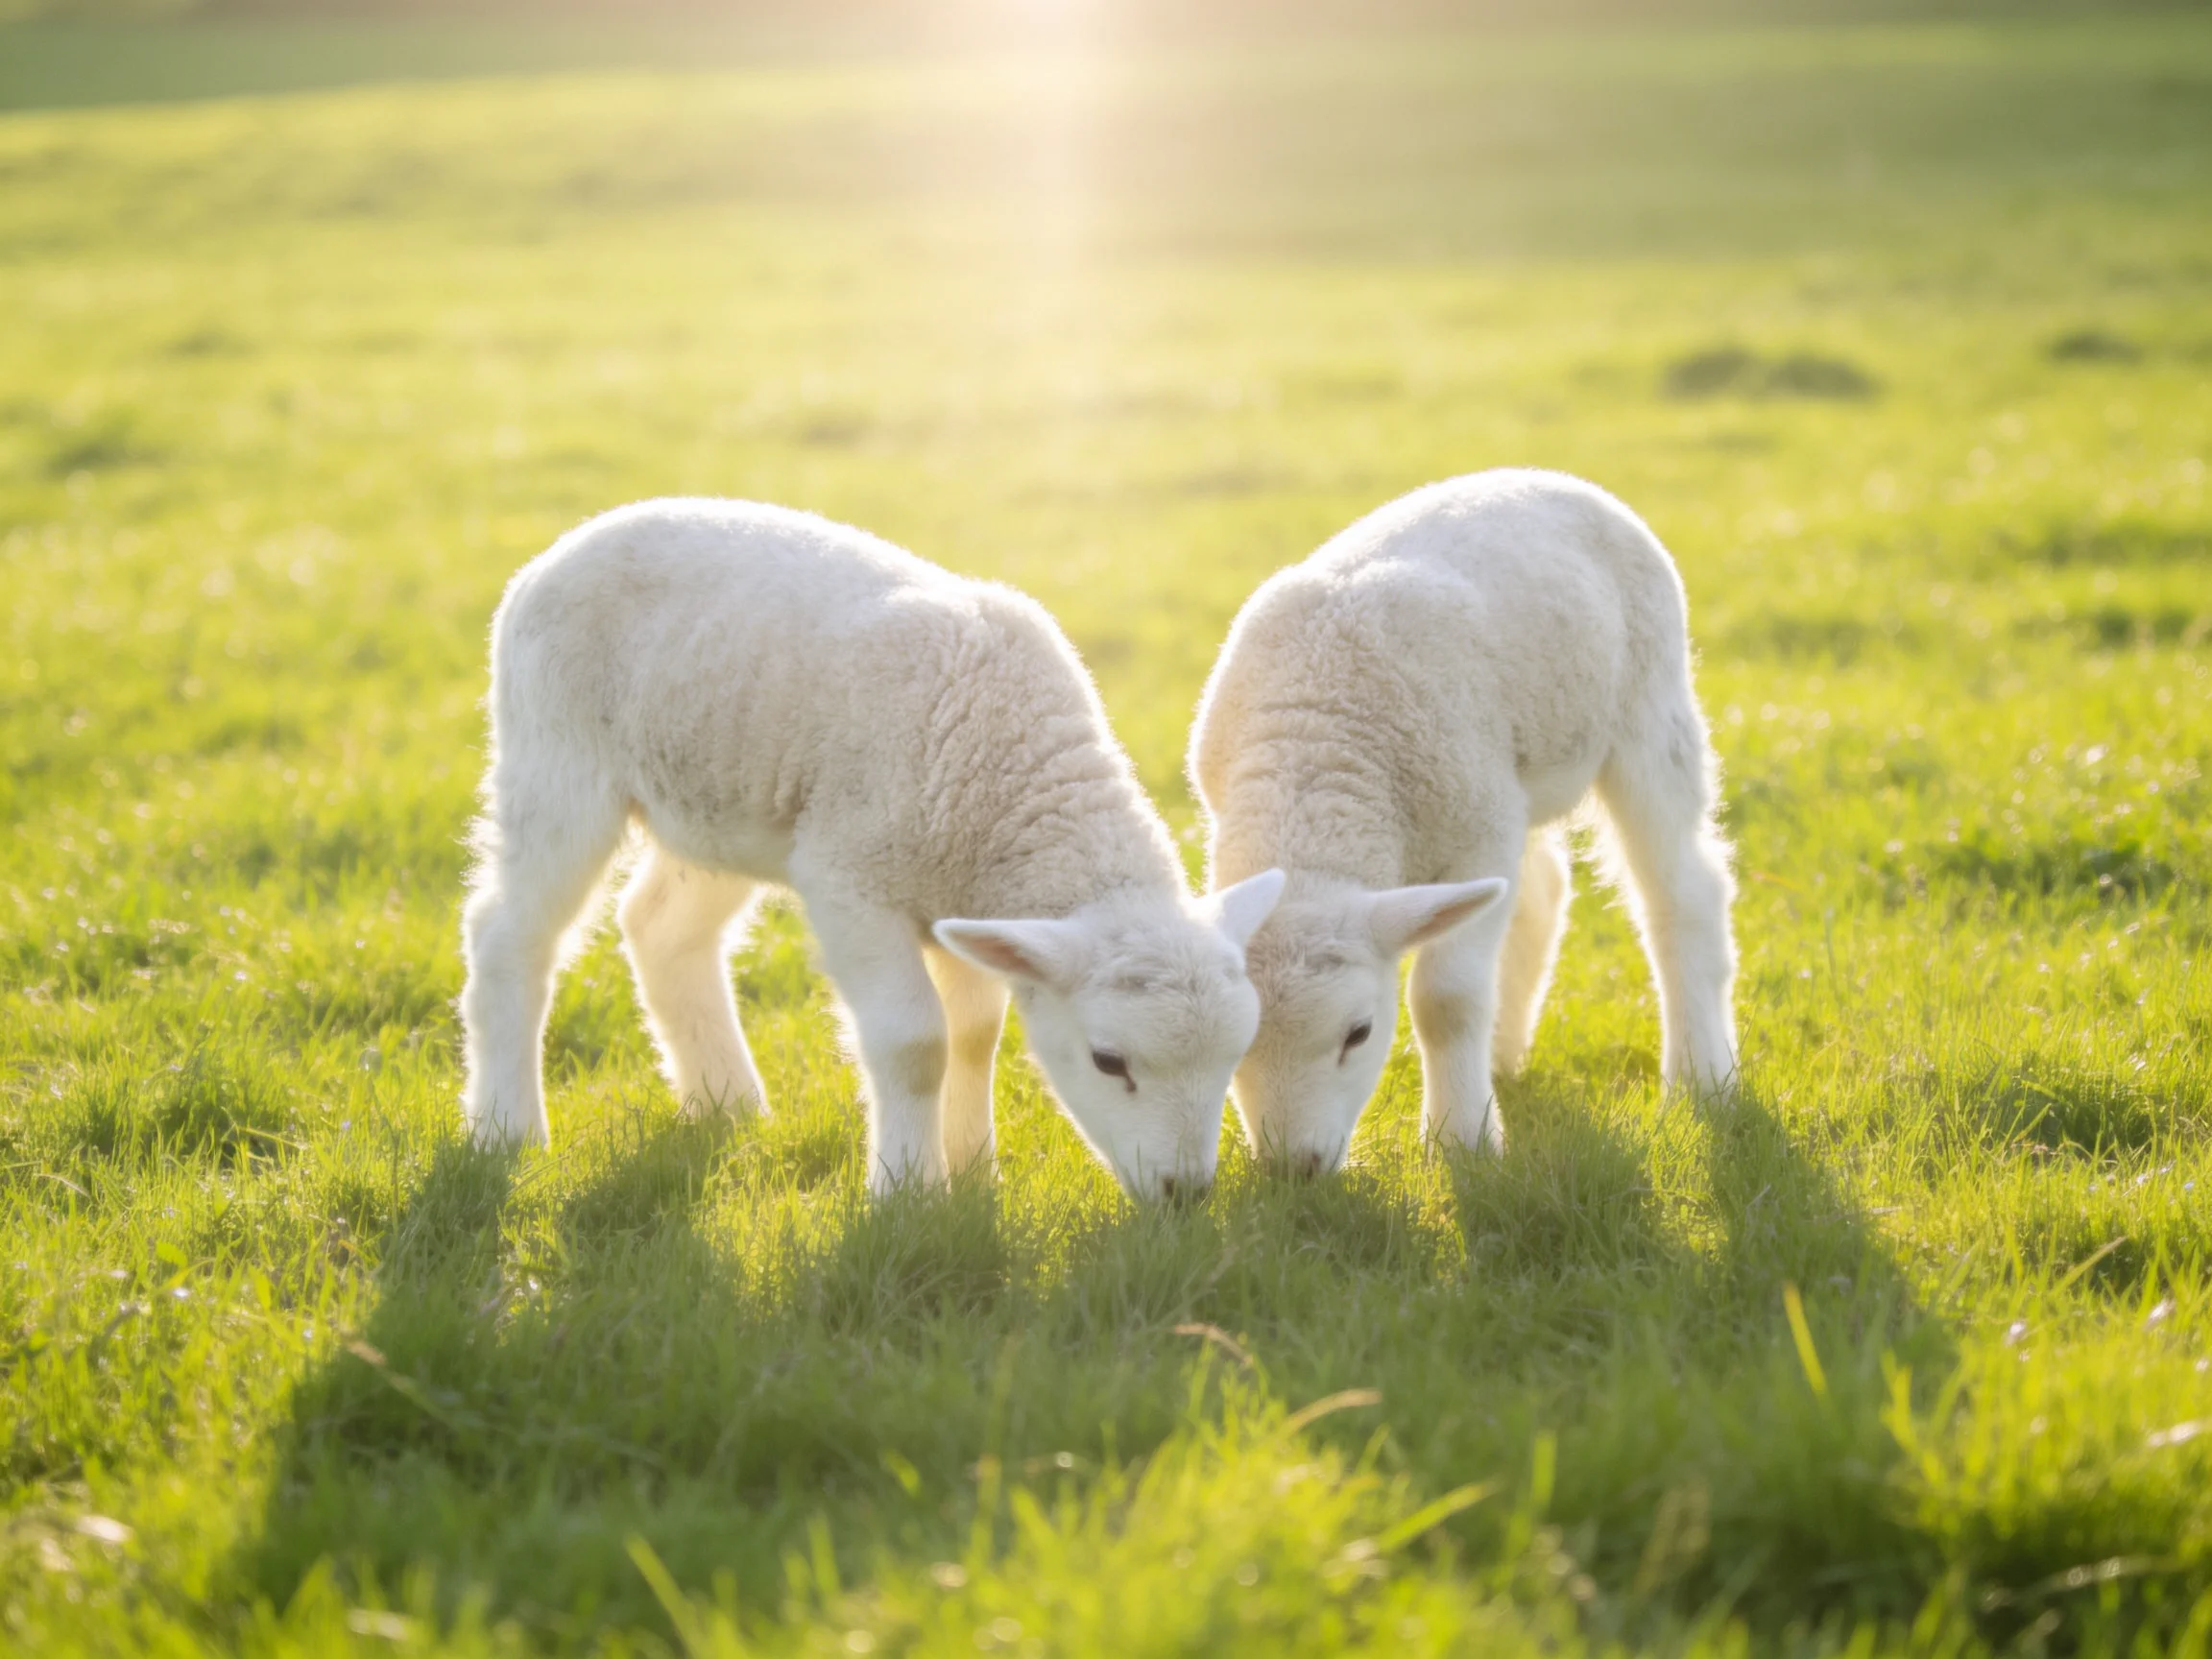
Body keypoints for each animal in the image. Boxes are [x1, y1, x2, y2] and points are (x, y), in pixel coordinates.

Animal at [460, 498, 1286, 1201]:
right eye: (1109, 1062)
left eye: (1235, 1057)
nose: (1186, 1194)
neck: (1010, 773)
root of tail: (558, 550)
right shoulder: (851, 878)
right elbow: (916, 1042)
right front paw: (910, 1193)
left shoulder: (963, 898)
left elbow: (974, 1037)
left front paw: (974, 1171)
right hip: (556, 758)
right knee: (508, 934)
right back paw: (508, 1130)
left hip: (722, 806)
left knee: (660, 927)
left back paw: (728, 1106)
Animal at [1188, 469, 1738, 1174]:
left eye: (1359, 1033)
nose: (1296, 1169)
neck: (1314, 747)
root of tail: (1545, 476)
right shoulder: (1484, 818)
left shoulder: (1477, 833)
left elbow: (1445, 1001)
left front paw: (1461, 1141)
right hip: (1519, 780)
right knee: (1543, 889)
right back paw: (1502, 1056)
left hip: (1648, 713)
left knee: (1683, 893)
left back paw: (1701, 1075)